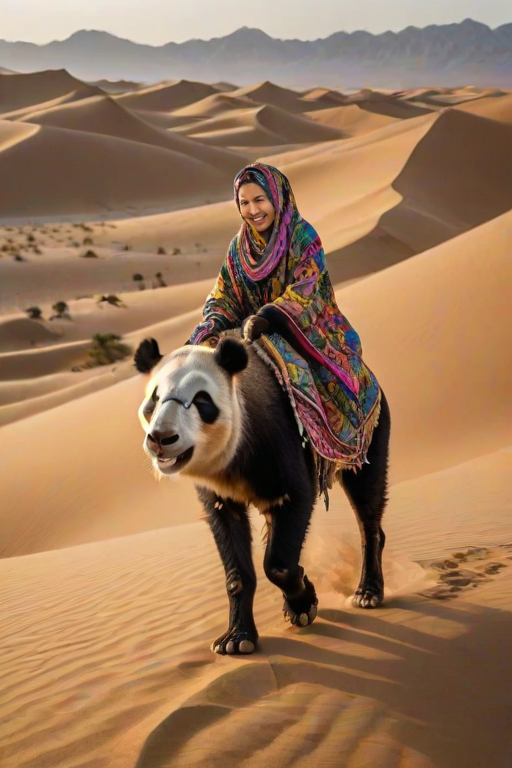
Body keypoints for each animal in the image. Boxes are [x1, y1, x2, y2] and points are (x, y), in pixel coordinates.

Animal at [134, 333, 390, 656]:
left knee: (367, 499)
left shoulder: (278, 444)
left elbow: (281, 555)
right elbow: (233, 555)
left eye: (202, 401)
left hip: (368, 434)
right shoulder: (219, 494)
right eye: (153, 400)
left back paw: (367, 591)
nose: (161, 438)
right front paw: (235, 638)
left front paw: (303, 604)